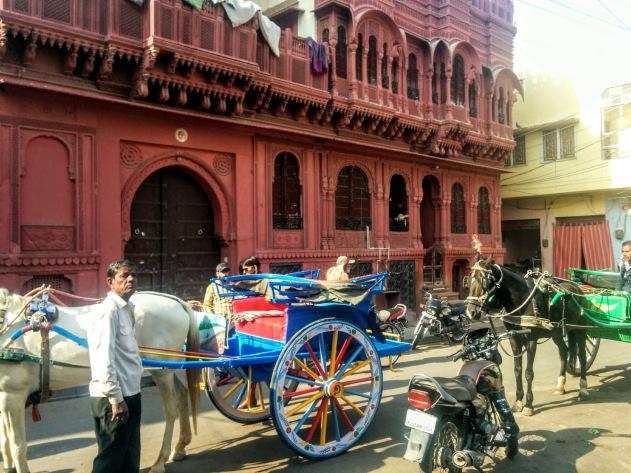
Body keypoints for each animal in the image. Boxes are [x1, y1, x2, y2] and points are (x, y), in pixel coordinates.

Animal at [0, 288, 201, 472]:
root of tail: (174, 300)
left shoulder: (13, 395)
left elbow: (18, 445)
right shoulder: (4, 396)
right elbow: (4, 441)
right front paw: (8, 467)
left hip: (162, 371)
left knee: (170, 411)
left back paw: (160, 461)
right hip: (164, 368)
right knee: (182, 395)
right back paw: (180, 447)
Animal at [462, 253, 592, 414]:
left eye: (483, 281)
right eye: (468, 280)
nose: (471, 312)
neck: (520, 300)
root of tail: (577, 288)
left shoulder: (531, 339)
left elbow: (528, 372)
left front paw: (529, 405)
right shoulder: (514, 338)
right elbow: (517, 370)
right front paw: (518, 401)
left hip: (580, 329)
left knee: (581, 355)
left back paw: (583, 388)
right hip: (556, 333)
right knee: (564, 351)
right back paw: (560, 385)